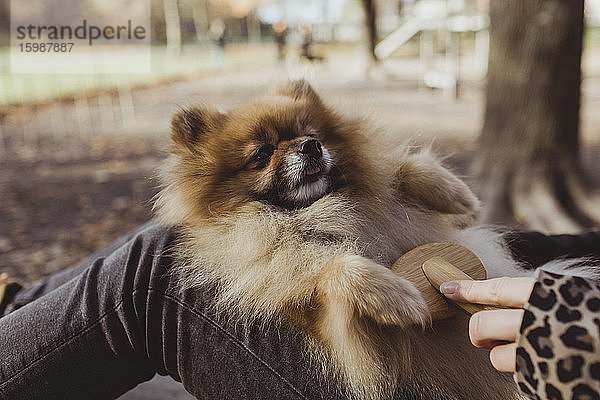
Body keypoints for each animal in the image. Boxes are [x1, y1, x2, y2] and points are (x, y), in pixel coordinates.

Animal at [155, 81, 528, 400]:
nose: (311, 146)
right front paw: (393, 295)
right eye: (262, 153)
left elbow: (394, 171)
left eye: (310, 133)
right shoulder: (313, 310)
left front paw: (455, 193)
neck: (311, 211)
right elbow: (332, 267)